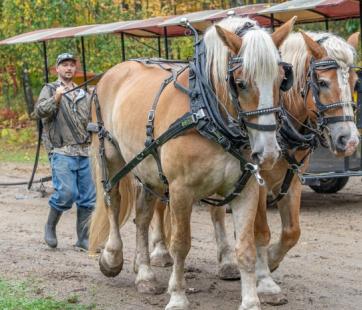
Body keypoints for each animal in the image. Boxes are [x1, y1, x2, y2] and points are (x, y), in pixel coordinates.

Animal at [89, 17, 296, 310]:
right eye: (240, 83)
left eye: (281, 81)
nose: (267, 153)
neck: (208, 115)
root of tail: (112, 72)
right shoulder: (180, 190)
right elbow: (180, 244)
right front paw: (177, 296)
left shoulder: (246, 189)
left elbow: (245, 247)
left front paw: (251, 301)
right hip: (110, 156)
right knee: (113, 202)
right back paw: (112, 257)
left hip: (148, 168)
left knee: (142, 217)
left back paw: (145, 274)